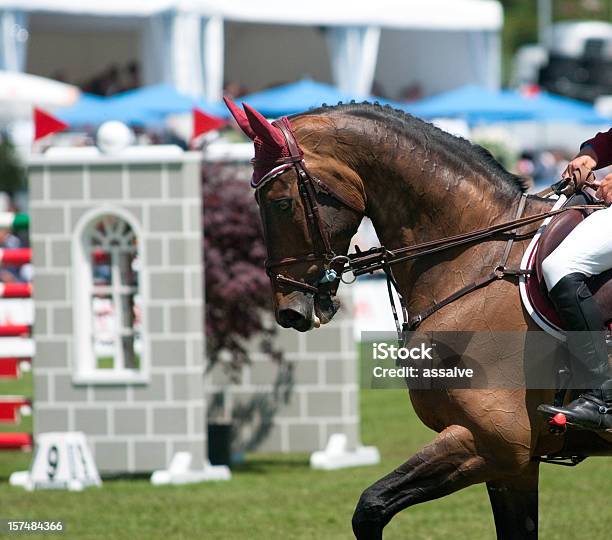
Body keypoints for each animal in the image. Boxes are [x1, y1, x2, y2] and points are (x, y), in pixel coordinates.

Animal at [225, 98, 612, 540]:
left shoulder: (492, 443)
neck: (474, 257)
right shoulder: (514, 465)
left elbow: (370, 507)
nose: (289, 310)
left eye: (280, 202)